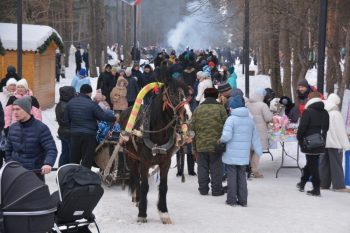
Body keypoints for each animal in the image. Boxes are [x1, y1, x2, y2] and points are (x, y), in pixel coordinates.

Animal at [119, 66, 191, 223]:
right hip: (131, 158)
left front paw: (164, 212)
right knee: (136, 179)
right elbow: (144, 185)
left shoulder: (166, 162)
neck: (158, 133)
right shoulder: (144, 161)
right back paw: (138, 199)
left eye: (187, 94)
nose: (188, 115)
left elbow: (163, 187)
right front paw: (142, 213)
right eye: (172, 93)